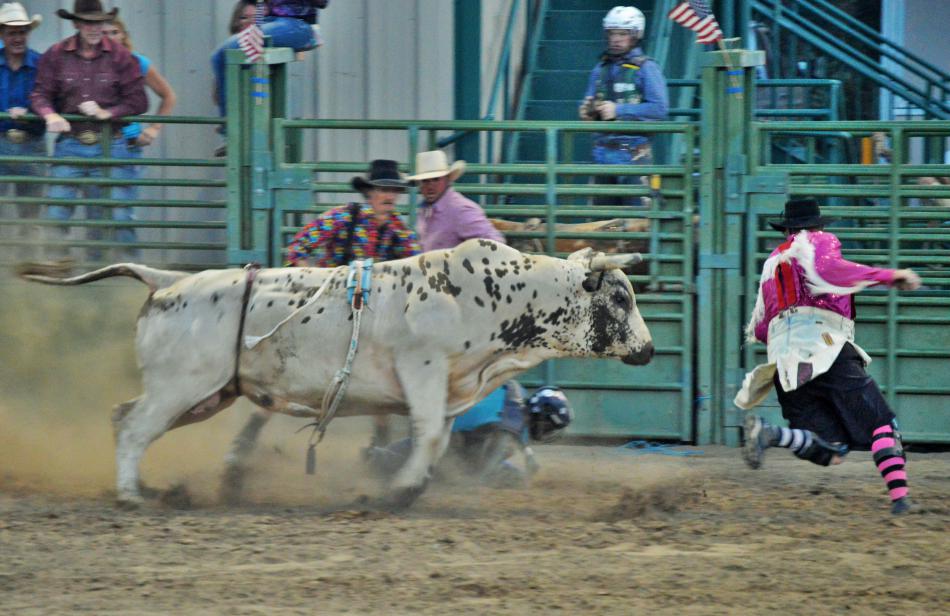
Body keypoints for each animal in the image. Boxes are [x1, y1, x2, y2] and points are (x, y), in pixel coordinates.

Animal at [21, 239, 654, 509]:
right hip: (180, 387)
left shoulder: (449, 388)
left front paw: (408, 485)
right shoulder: (422, 369)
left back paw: (153, 487)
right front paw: (399, 492)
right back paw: (132, 496)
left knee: (123, 416)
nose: (648, 351)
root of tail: (168, 281)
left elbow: (437, 437)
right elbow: (427, 436)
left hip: (205, 396)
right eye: (621, 297)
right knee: (133, 428)